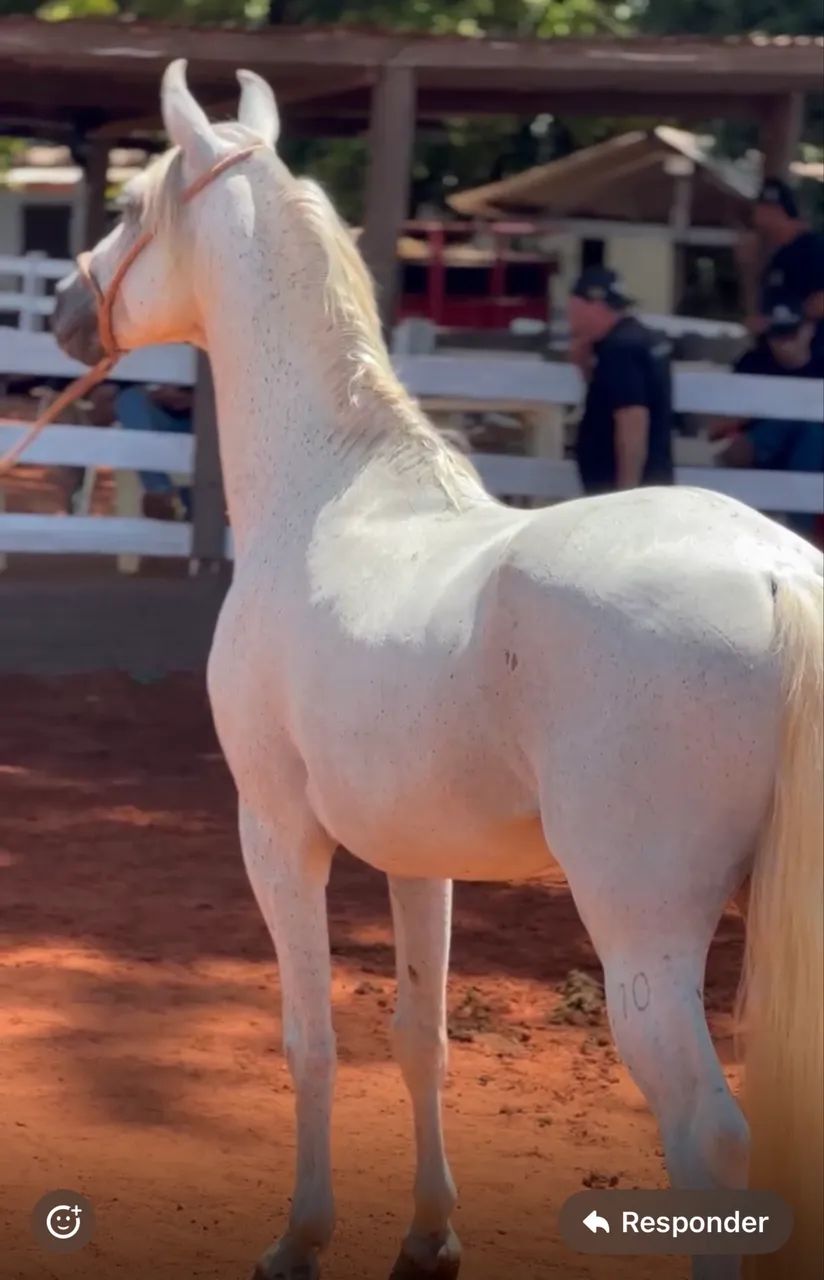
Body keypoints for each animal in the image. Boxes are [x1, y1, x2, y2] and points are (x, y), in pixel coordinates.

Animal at [51, 61, 822, 1280]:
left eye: (131, 207)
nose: (64, 310)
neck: (328, 491)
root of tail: (773, 572)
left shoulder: (276, 832)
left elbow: (311, 1039)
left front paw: (300, 1237)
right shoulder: (419, 858)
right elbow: (421, 1039)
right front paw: (428, 1236)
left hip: (640, 924)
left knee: (708, 1130)